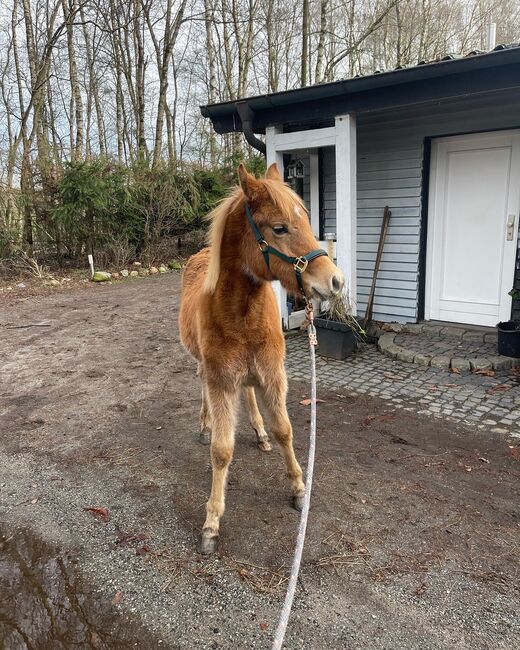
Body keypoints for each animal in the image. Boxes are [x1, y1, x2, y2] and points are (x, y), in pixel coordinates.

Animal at [180, 163, 346, 552]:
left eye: (306, 220)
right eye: (280, 228)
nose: (336, 281)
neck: (241, 314)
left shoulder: (272, 376)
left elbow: (284, 430)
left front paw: (299, 488)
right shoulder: (221, 380)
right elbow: (221, 450)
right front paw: (212, 522)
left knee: (250, 395)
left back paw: (259, 432)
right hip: (207, 369)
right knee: (203, 388)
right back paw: (205, 423)